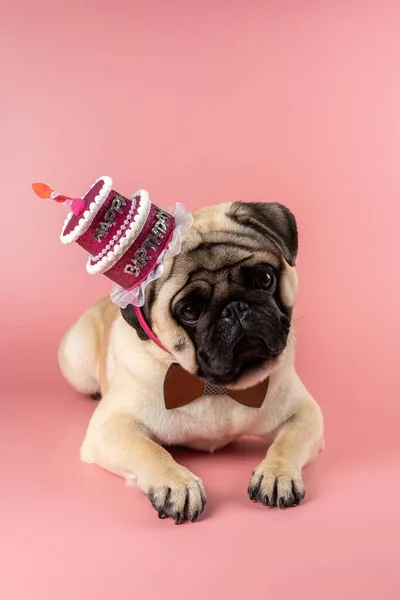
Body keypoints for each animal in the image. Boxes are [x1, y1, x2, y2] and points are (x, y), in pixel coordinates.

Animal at [58, 200, 324, 520]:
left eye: (265, 279)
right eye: (189, 311)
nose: (235, 308)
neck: (214, 385)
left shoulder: (306, 413)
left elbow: (288, 441)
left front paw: (277, 473)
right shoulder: (110, 428)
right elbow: (150, 451)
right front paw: (177, 484)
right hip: (77, 362)